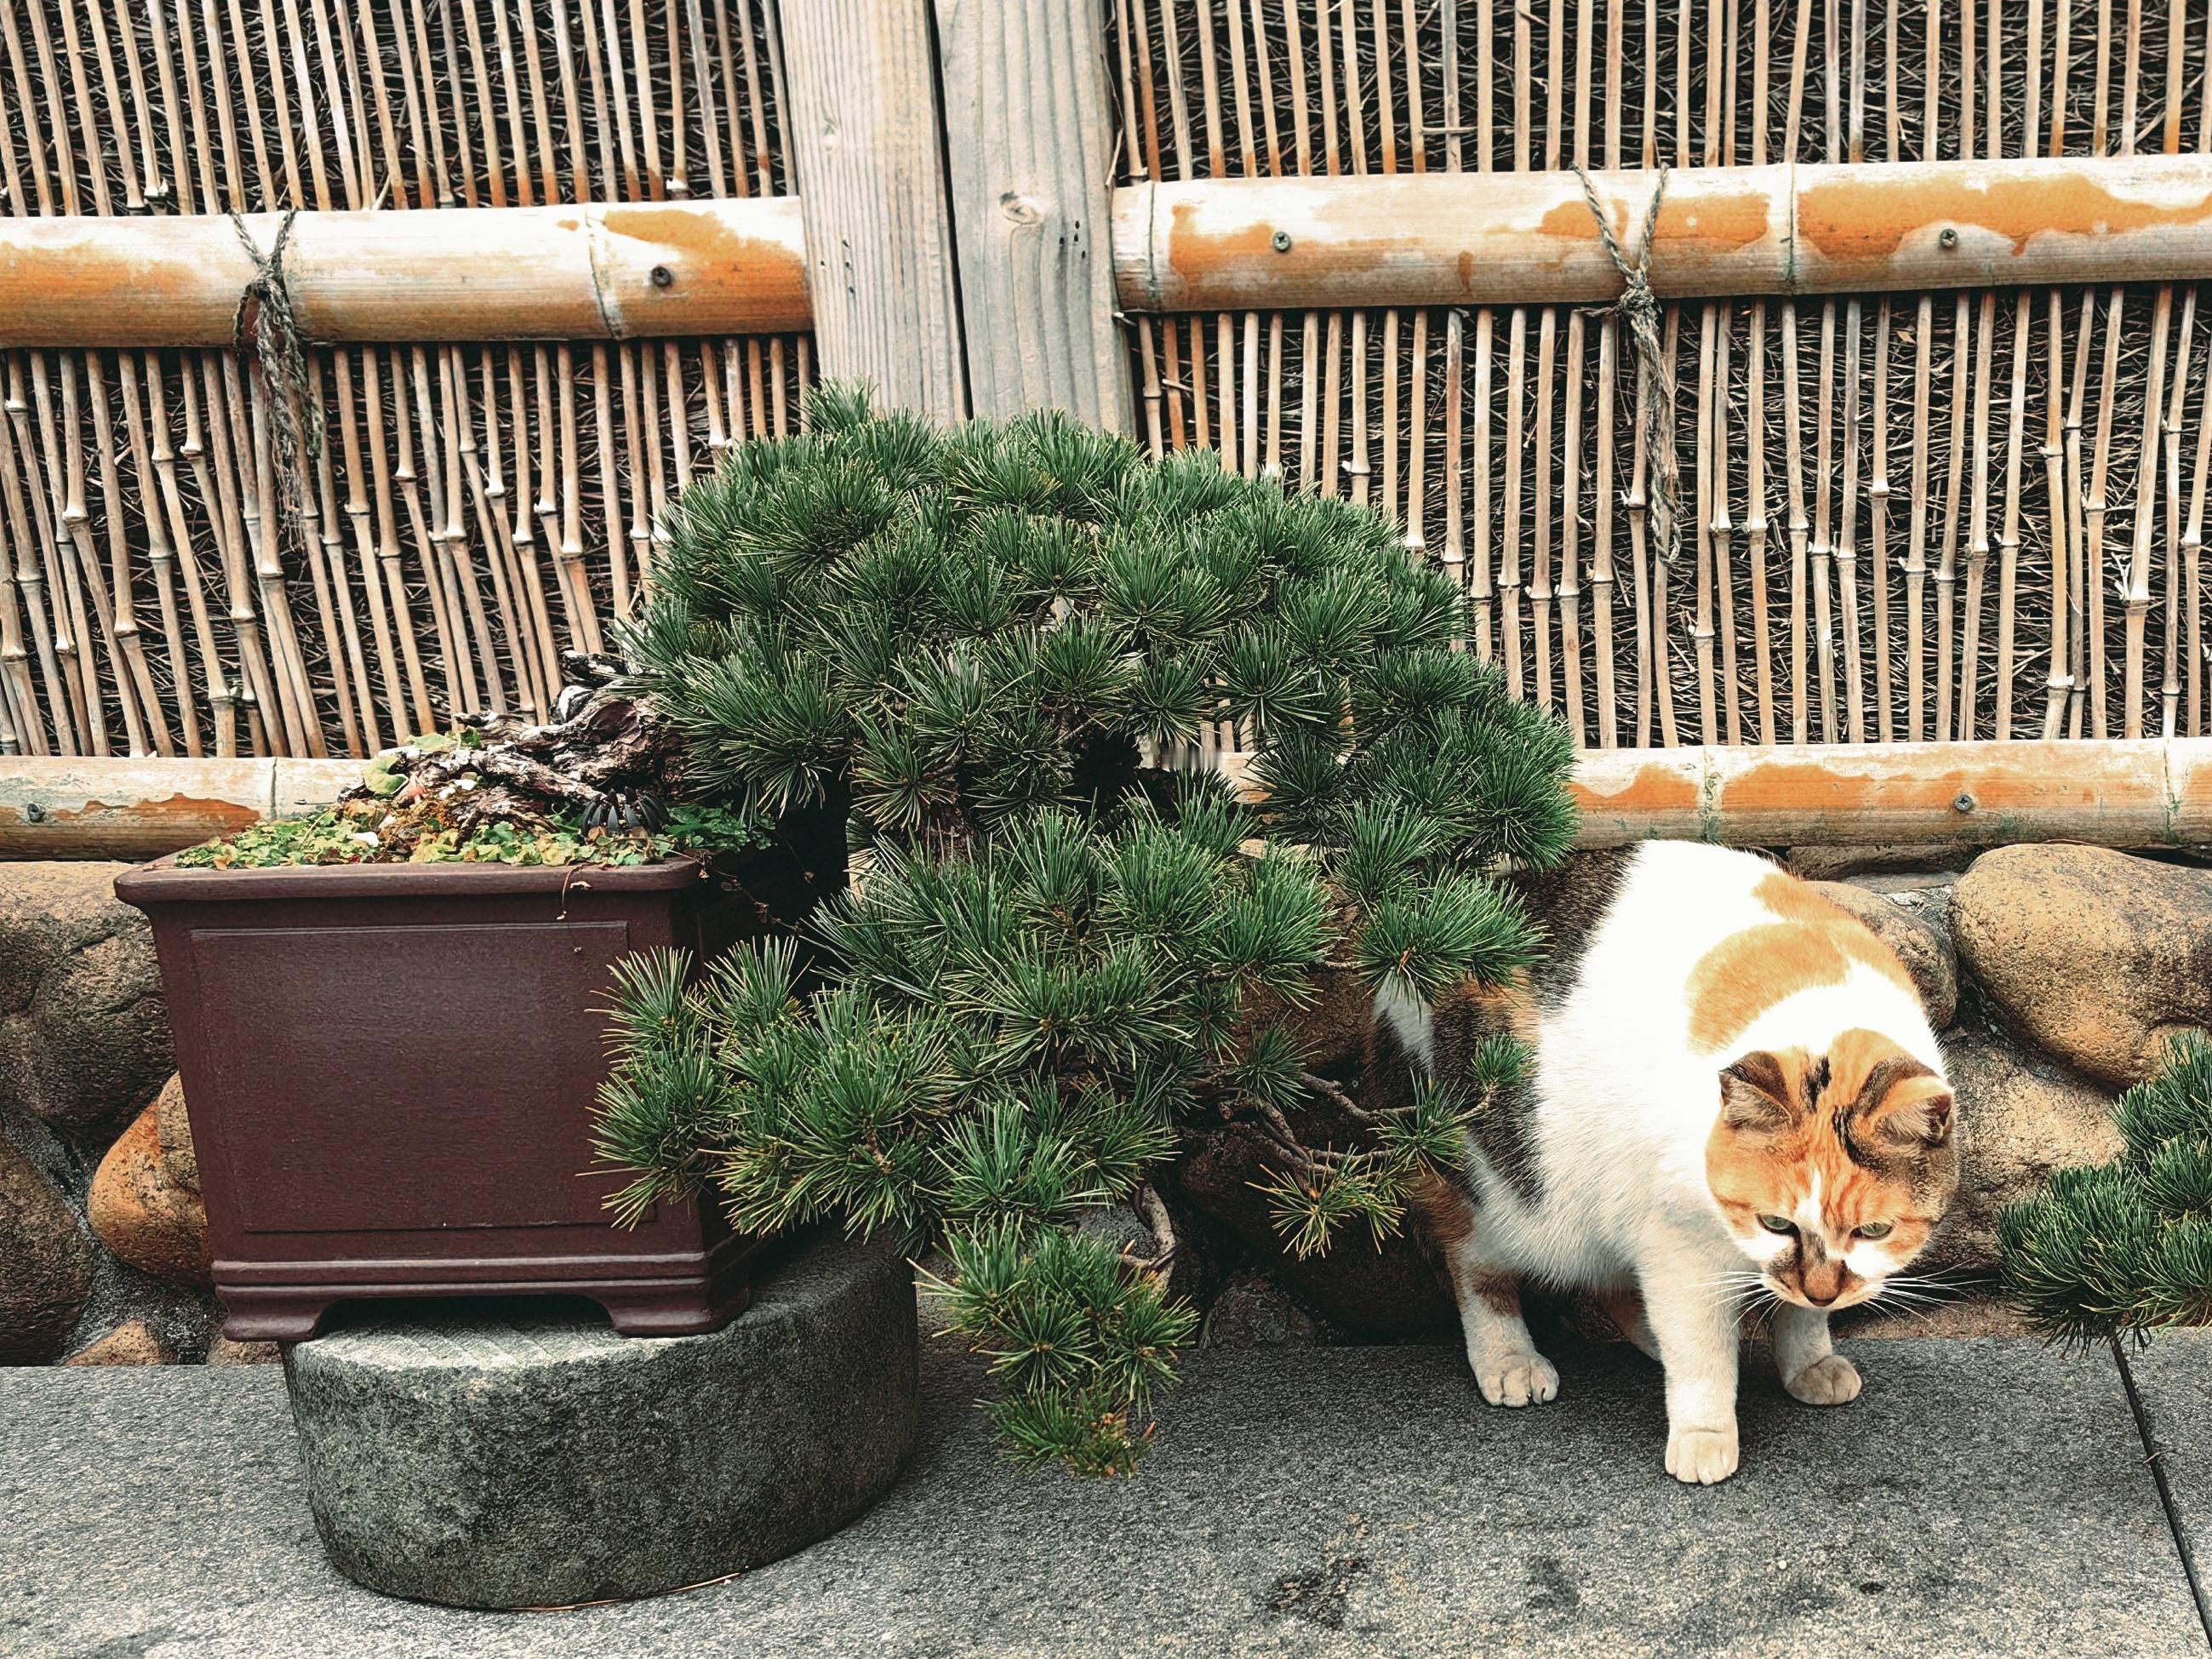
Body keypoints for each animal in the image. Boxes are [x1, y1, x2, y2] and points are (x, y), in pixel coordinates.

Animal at [1389, 844, 1963, 1495]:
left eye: (1873, 1231)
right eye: (1774, 1223)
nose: (1823, 1290)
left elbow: (1794, 1312)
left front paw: (1811, 1362)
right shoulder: (1677, 1242)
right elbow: (1701, 1355)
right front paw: (1704, 1436)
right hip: (1498, 1179)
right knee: (1473, 1263)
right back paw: (1511, 1360)